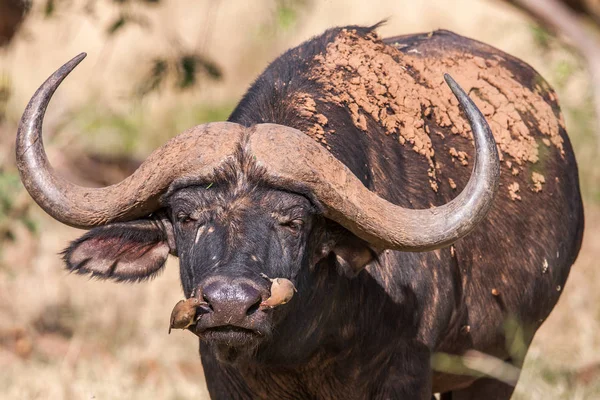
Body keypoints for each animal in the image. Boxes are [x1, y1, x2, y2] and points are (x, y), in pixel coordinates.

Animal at [16, 23, 584, 398]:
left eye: (293, 222)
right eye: (186, 217)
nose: (230, 305)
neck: (305, 347)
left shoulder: (409, 372)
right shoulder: (221, 372)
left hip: (497, 363)